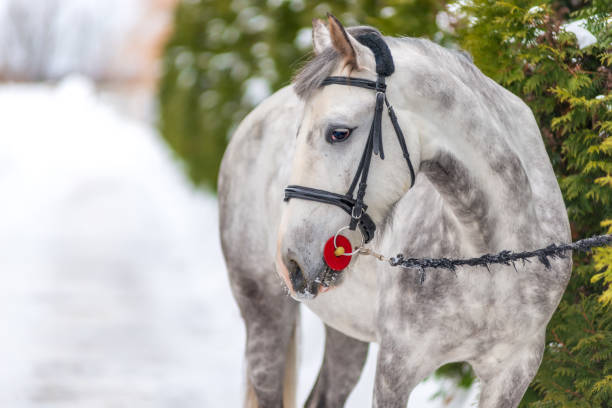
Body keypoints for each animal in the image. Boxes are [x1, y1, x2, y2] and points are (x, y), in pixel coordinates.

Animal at [218, 14, 572, 406]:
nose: (290, 261)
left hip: (347, 330)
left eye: (339, 133)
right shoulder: (396, 369)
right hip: (265, 314)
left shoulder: (513, 371)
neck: (491, 261)